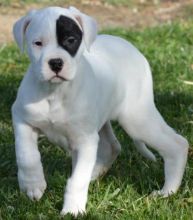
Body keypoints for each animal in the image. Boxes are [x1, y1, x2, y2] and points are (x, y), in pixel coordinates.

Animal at [11, 6, 188, 216]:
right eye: (38, 43)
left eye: (71, 40)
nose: (55, 63)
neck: (55, 92)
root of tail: (129, 47)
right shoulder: (21, 118)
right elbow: (26, 155)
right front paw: (32, 184)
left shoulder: (85, 140)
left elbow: (77, 180)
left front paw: (72, 210)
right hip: (105, 120)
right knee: (112, 146)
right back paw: (95, 175)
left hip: (137, 119)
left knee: (177, 144)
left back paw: (167, 192)